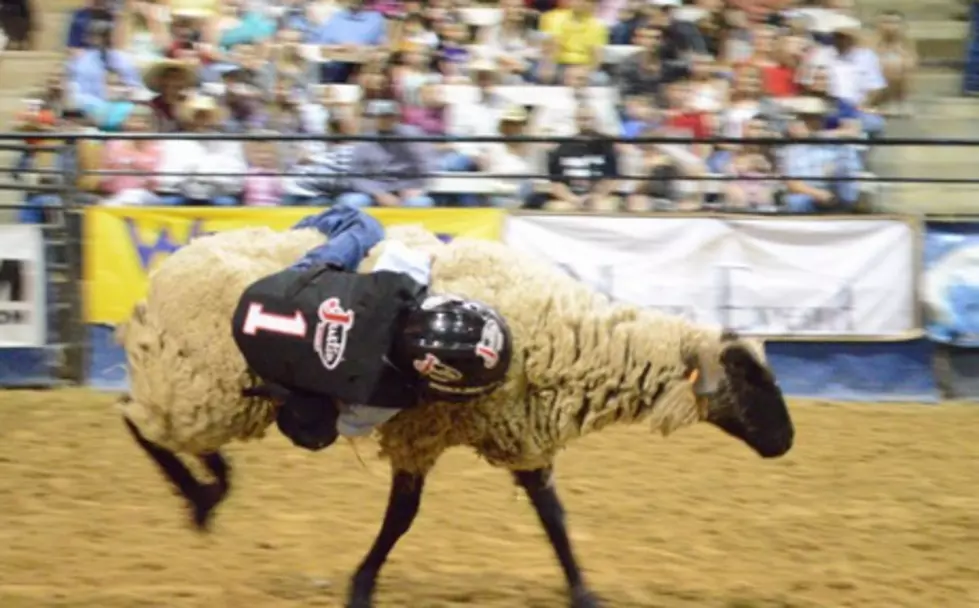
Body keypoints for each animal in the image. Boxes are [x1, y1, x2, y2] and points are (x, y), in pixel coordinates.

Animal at [118, 223, 796, 608]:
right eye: (750, 377)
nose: (786, 441)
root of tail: (164, 270)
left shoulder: (519, 434)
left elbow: (553, 518)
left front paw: (583, 591)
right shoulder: (420, 430)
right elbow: (402, 518)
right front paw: (361, 587)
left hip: (205, 390)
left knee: (157, 423)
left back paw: (209, 486)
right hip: (201, 386)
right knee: (139, 420)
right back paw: (203, 494)